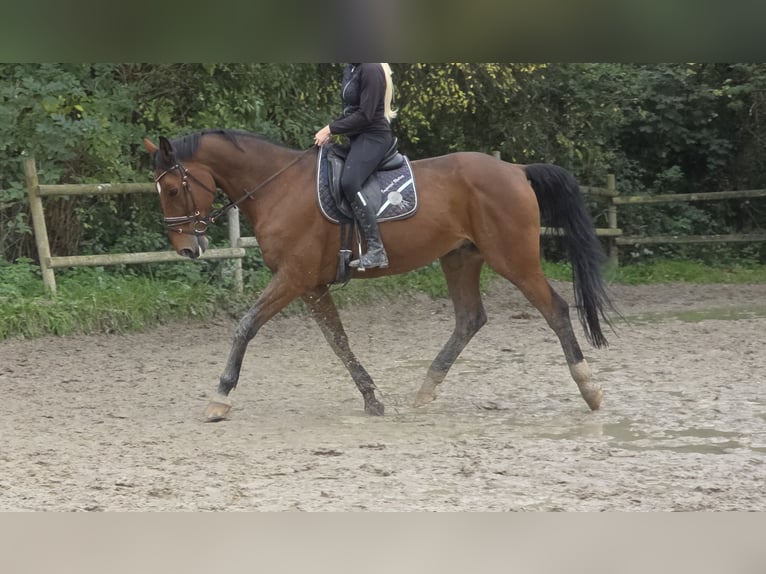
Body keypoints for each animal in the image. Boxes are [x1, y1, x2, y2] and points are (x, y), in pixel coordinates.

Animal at [143, 128, 616, 421]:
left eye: (173, 189)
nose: (186, 248)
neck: (278, 187)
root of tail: (516, 169)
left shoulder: (294, 278)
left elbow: (246, 326)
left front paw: (220, 397)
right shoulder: (312, 285)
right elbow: (338, 341)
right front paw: (372, 397)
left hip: (514, 259)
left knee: (555, 309)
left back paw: (590, 388)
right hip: (460, 258)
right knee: (470, 319)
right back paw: (426, 389)